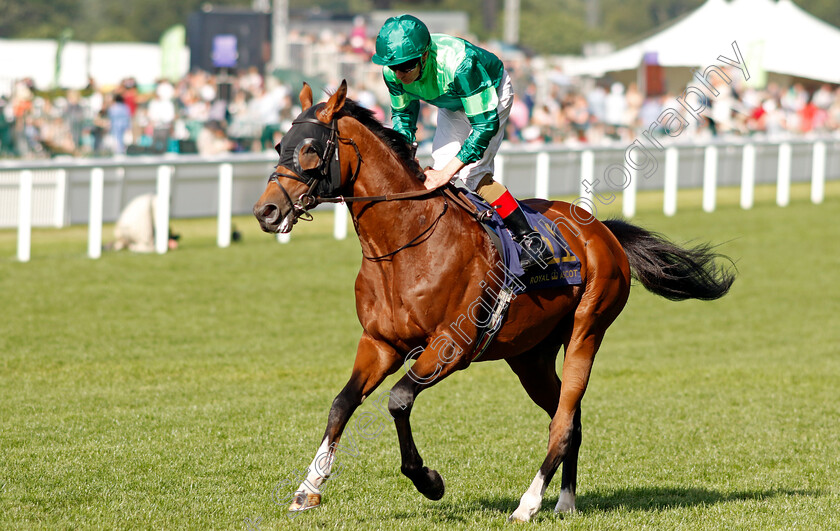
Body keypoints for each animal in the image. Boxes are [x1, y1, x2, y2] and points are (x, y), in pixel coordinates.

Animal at [253, 83, 732, 524]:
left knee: (563, 422)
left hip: (587, 330)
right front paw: (308, 488)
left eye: (311, 149)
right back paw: (565, 502)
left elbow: (399, 399)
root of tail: (602, 230)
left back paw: (529, 503)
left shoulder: (452, 346)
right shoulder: (380, 343)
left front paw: (428, 481)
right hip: (530, 356)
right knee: (570, 419)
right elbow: (342, 403)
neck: (404, 245)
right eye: (278, 146)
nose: (266, 212)